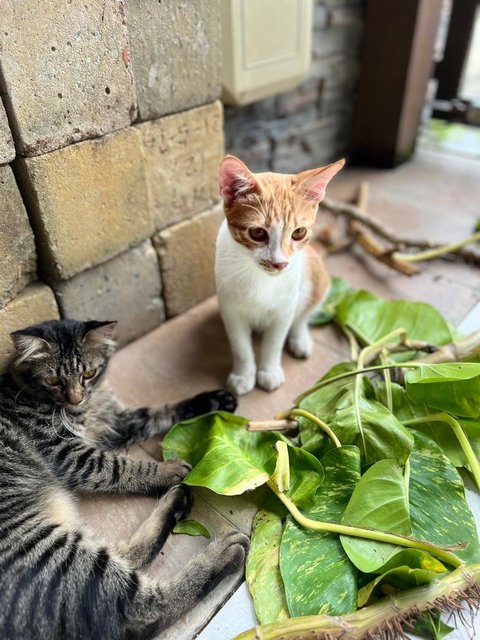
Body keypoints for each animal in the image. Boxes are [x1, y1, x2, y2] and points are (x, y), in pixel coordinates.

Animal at [0, 320, 248, 640]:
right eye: (53, 380)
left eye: (89, 373)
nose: (76, 398)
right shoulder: (68, 452)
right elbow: (121, 467)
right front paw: (167, 471)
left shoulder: (115, 423)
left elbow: (158, 412)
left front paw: (212, 400)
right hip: (50, 549)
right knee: (143, 610)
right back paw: (221, 552)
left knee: (127, 559)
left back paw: (175, 504)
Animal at [216, 155, 344, 396]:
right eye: (257, 232)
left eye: (299, 232)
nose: (280, 263)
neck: (260, 278)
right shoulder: (230, 309)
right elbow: (240, 346)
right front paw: (243, 375)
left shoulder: (284, 309)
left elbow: (274, 342)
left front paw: (269, 371)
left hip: (317, 280)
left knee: (303, 315)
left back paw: (300, 338)